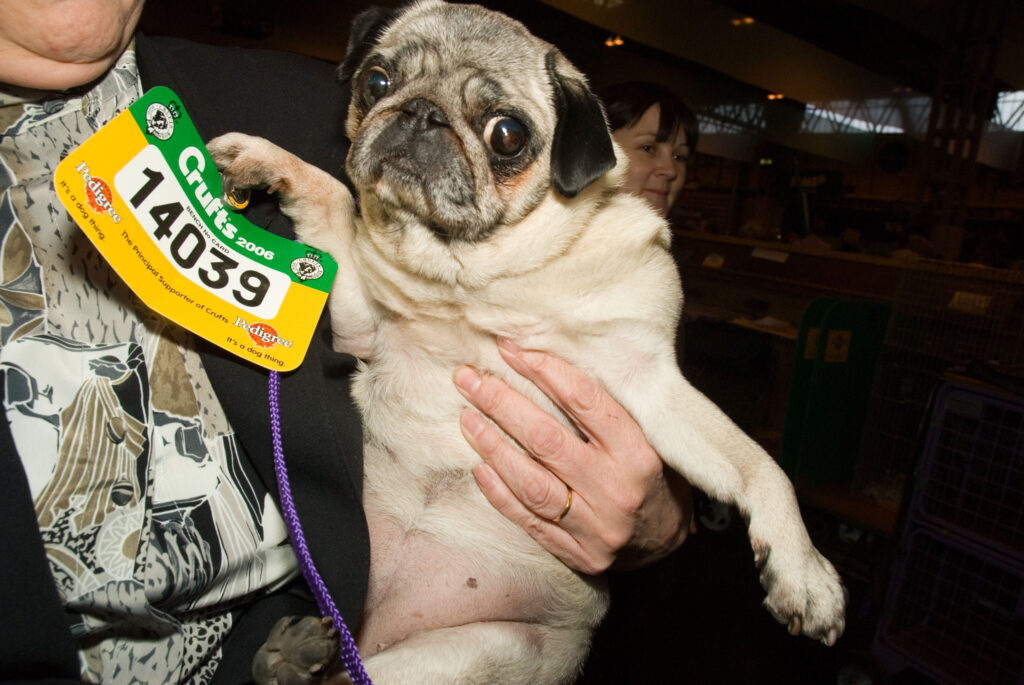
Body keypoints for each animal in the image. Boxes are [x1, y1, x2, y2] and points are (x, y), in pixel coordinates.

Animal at [205, 1, 839, 683]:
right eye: (376, 81)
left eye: (505, 135)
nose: (421, 113)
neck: (479, 276)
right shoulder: (363, 324)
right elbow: (332, 193)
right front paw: (267, 159)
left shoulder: (648, 380)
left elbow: (762, 467)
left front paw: (805, 576)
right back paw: (288, 656)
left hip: (479, 651)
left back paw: (296, 659)